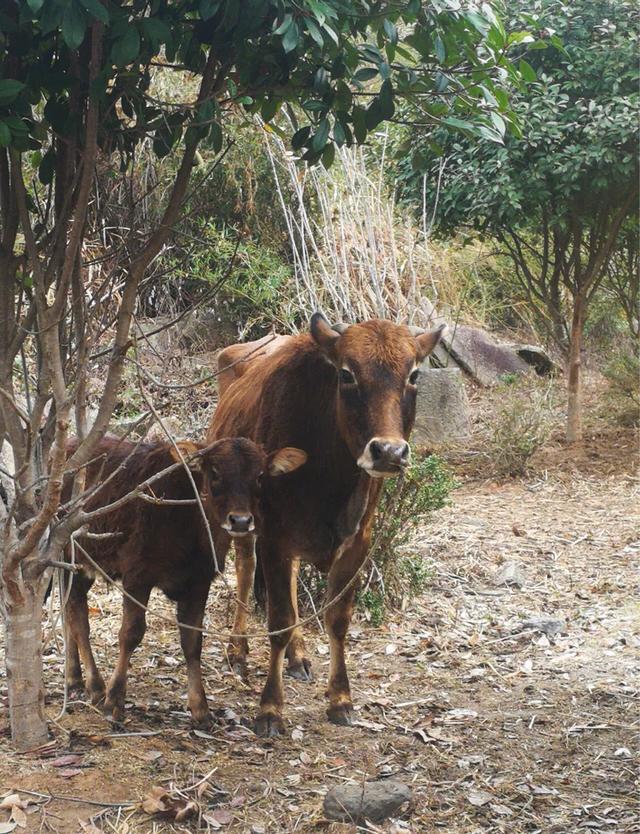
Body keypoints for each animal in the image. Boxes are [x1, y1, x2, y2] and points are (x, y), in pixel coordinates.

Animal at [61, 432, 306, 724]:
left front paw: (201, 709)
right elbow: (130, 634)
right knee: (79, 619)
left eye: (259, 476)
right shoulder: (137, 576)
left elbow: (192, 642)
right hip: (72, 555)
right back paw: (96, 686)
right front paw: (115, 699)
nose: (240, 521)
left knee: (70, 612)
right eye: (214, 473)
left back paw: (74, 680)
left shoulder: (199, 581)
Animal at [208, 314, 442, 736]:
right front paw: (270, 709)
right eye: (346, 374)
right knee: (246, 570)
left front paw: (340, 699)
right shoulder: (273, 536)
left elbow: (337, 619)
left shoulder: (357, 541)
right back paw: (237, 649)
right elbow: (280, 619)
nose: (389, 452)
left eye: (414, 374)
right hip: (240, 519)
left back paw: (299, 657)